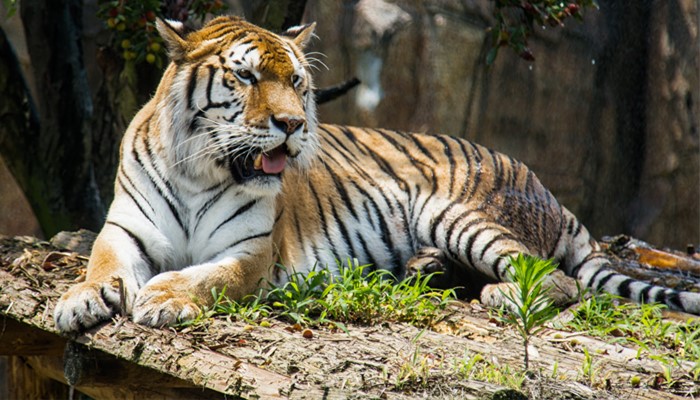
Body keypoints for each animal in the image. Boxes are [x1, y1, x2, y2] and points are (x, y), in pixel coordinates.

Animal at [54, 16, 700, 333]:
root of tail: (550, 192)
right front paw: (78, 301)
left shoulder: (252, 252)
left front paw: (164, 298)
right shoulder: (126, 230)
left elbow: (210, 277)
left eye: (295, 82)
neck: (200, 172)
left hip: (457, 213)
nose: (292, 124)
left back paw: (497, 294)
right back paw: (425, 270)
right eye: (244, 77)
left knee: (556, 279)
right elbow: (101, 263)